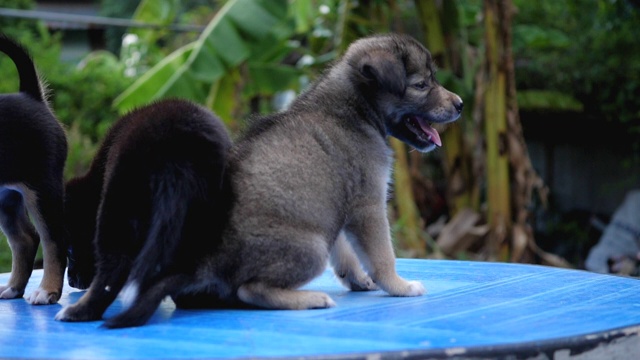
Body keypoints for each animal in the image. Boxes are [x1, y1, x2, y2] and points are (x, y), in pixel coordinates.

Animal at [0, 34, 68, 304]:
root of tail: (31, 96)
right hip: (7, 198)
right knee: (26, 240)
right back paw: (13, 288)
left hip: (42, 191)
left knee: (53, 240)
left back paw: (47, 290)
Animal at [55, 98, 230, 330]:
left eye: (70, 251)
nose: (71, 281)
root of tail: (176, 156)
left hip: (117, 212)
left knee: (112, 271)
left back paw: (79, 312)